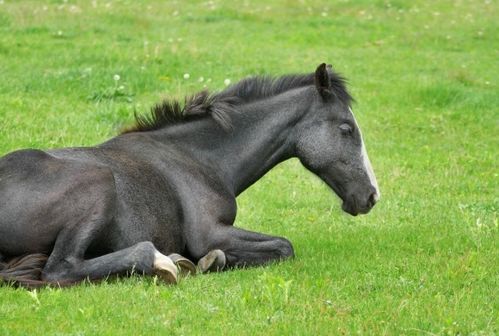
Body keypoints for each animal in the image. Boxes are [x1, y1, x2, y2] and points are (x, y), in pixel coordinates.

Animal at [0, 64, 380, 288]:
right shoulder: (209, 232)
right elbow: (284, 246)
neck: (197, 158)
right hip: (98, 184)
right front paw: (210, 261)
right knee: (60, 270)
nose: (371, 196)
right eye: (346, 129)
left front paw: (211, 261)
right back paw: (163, 262)